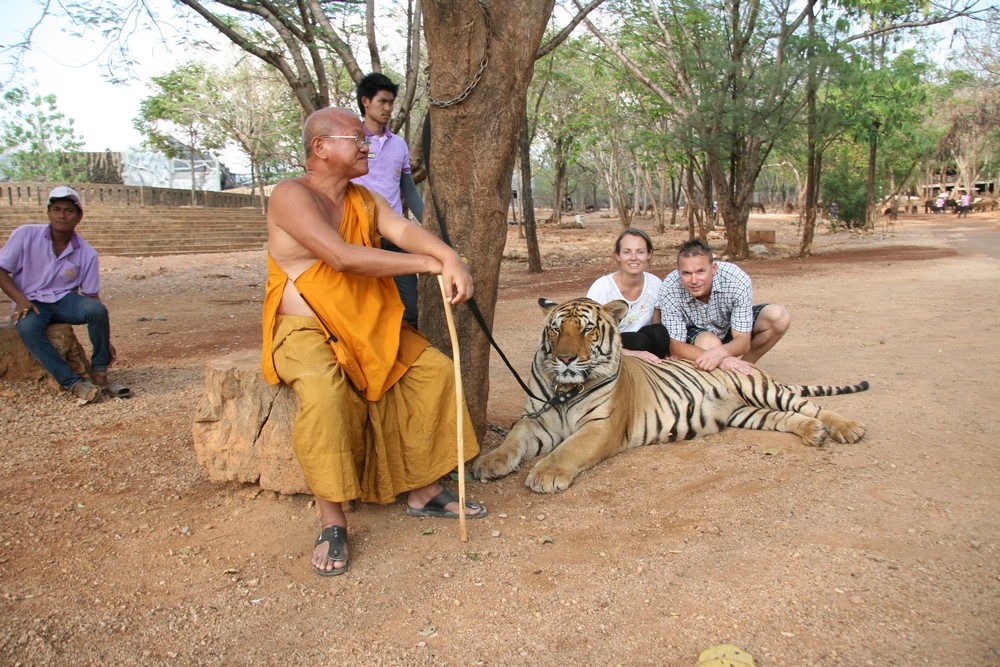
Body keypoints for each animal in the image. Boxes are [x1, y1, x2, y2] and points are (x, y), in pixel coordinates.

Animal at [472, 297, 869, 493]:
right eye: (555, 329)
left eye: (586, 329)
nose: (566, 358)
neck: (566, 389)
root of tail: (733, 358)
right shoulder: (536, 419)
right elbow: (513, 440)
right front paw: (488, 462)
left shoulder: (601, 427)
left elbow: (568, 449)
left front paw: (546, 474)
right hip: (748, 413)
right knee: (788, 417)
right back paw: (813, 433)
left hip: (762, 388)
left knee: (810, 405)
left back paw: (847, 429)